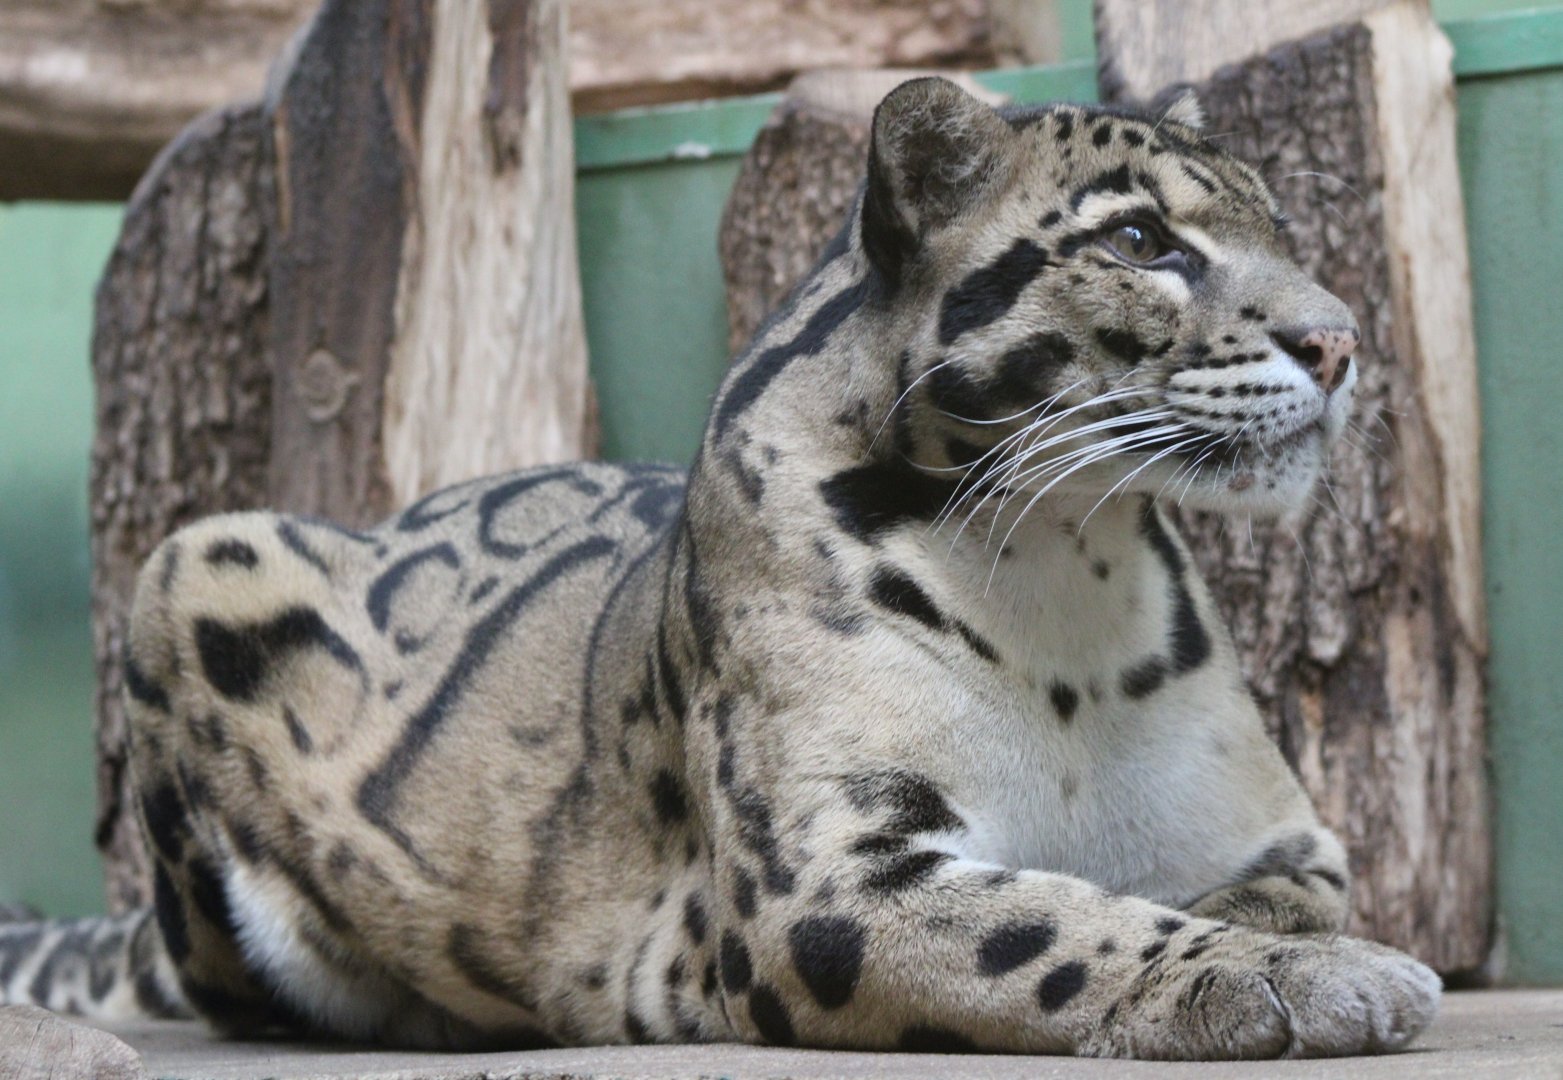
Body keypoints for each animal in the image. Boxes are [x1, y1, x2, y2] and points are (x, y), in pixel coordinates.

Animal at [1, 77, 1439, 1060]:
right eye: (1141, 242)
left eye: (1283, 230)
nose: (1339, 343)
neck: (1060, 576)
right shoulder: (815, 880)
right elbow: (1053, 924)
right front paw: (1305, 981)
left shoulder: (1285, 831)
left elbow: (1270, 892)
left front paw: (1298, 947)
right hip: (200, 555)